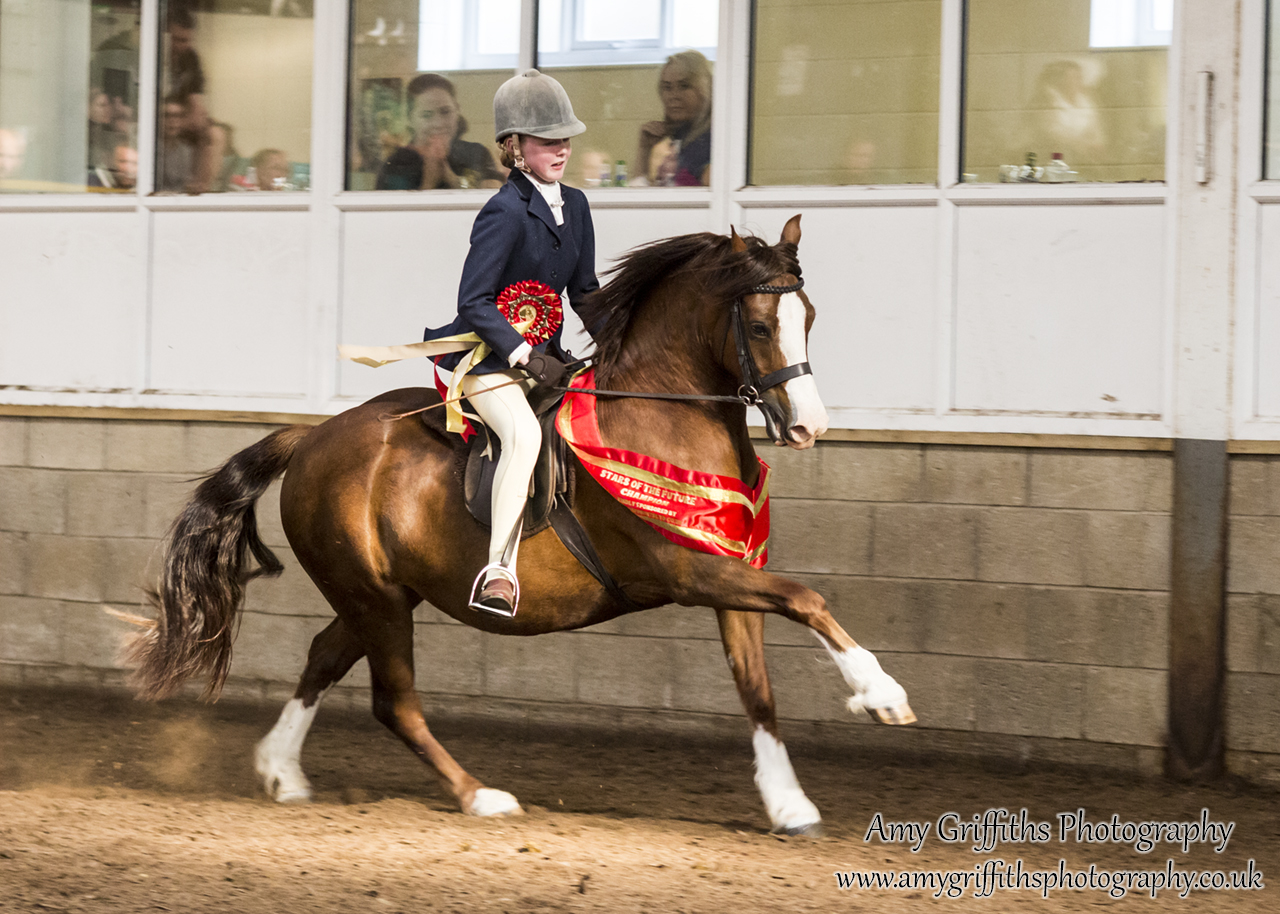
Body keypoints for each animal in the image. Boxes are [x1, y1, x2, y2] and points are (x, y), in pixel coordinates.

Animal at [124, 215, 911, 834]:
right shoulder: (688, 570)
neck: (663, 417)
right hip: (375, 599)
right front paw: (882, 696)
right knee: (394, 701)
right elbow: (807, 597)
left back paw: (281, 772)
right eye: (759, 324)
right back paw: (480, 796)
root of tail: (314, 436)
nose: (810, 427)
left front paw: (789, 804)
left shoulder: (730, 570)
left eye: (810, 317)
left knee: (322, 657)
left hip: (379, 594)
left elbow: (759, 687)